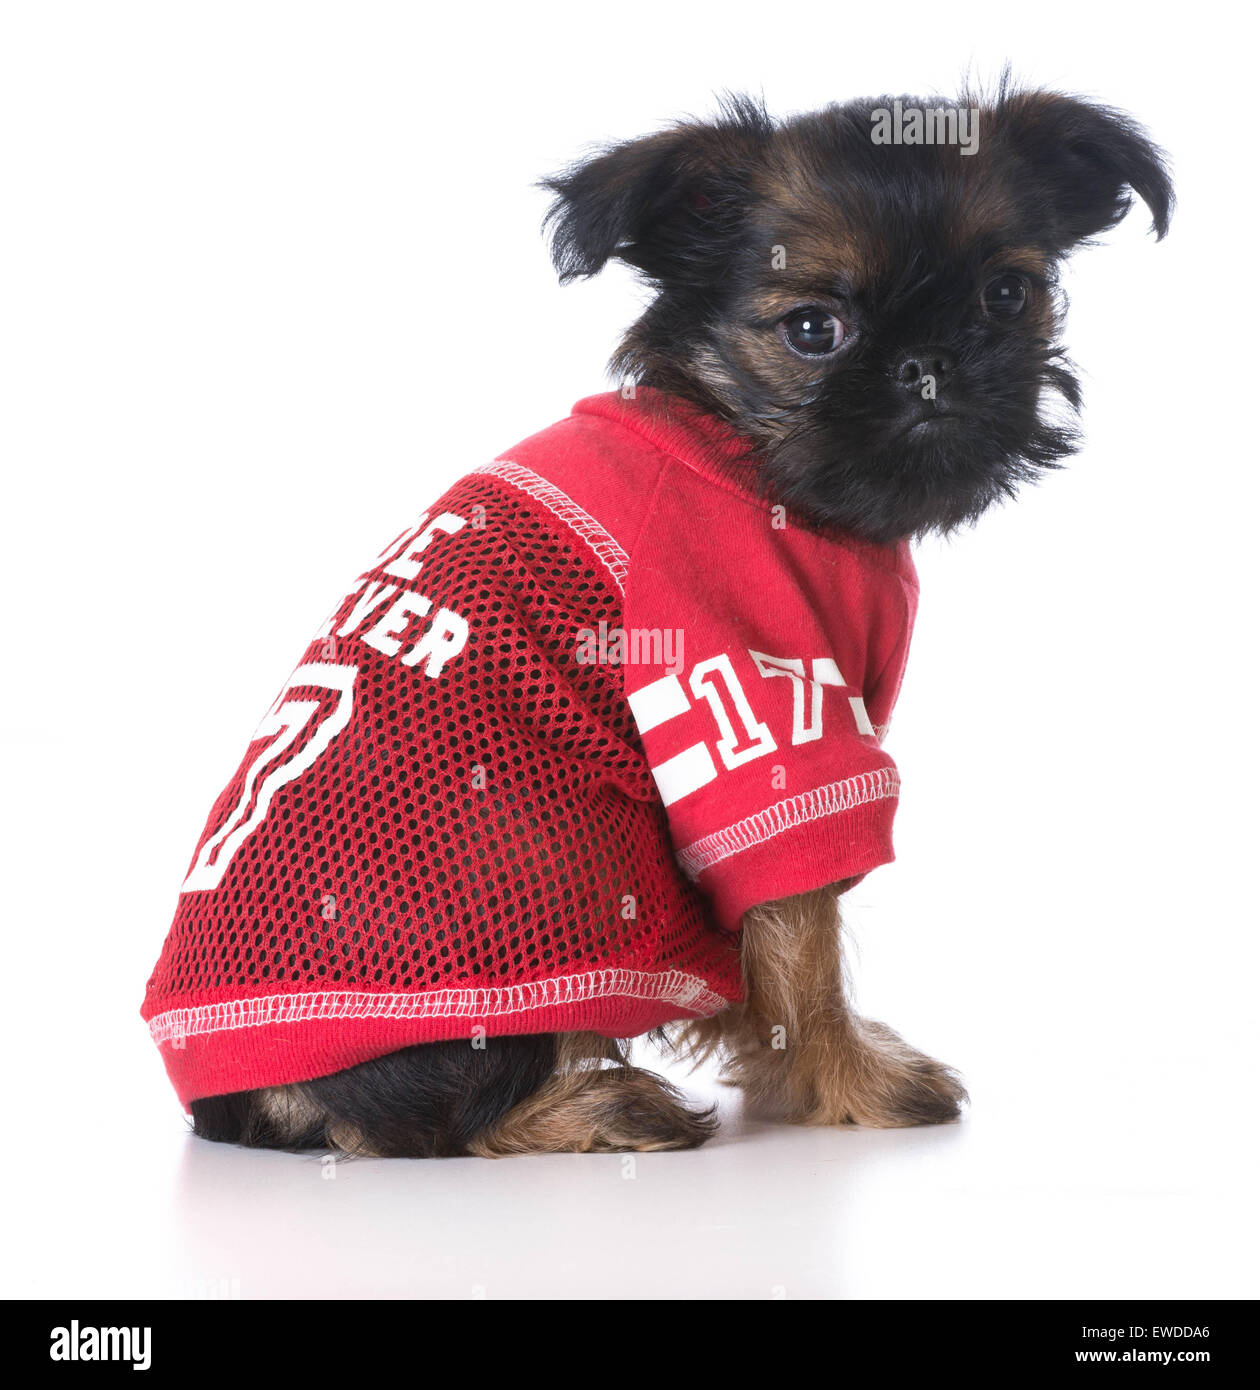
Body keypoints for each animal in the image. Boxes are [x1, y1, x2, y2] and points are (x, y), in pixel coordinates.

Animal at [144, 81, 1168, 1156]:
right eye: (813, 329)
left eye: (1007, 296)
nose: (928, 362)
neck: (742, 443)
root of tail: (235, 1096)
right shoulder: (759, 709)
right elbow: (803, 936)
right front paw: (849, 1081)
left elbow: (777, 951)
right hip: (555, 881)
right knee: (447, 1122)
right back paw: (602, 1106)